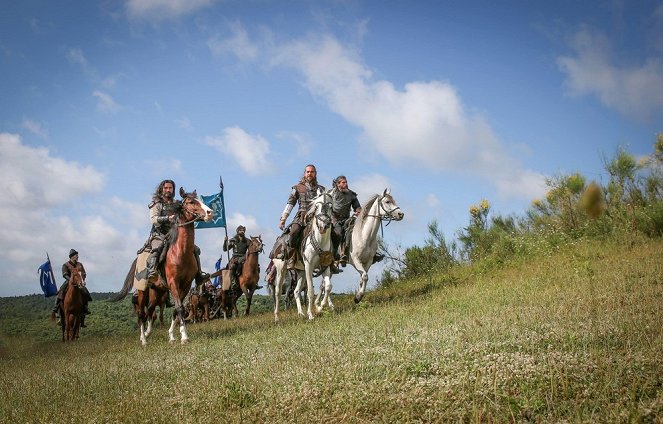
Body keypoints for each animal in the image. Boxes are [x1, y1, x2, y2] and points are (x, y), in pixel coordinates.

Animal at [113, 188, 214, 344]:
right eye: (191, 202)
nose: (210, 212)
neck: (180, 252)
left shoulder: (185, 285)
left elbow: (177, 309)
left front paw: (172, 335)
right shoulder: (173, 283)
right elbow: (179, 307)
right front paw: (184, 337)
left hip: (157, 292)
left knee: (150, 311)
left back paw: (148, 333)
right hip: (142, 291)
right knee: (141, 313)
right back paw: (143, 339)